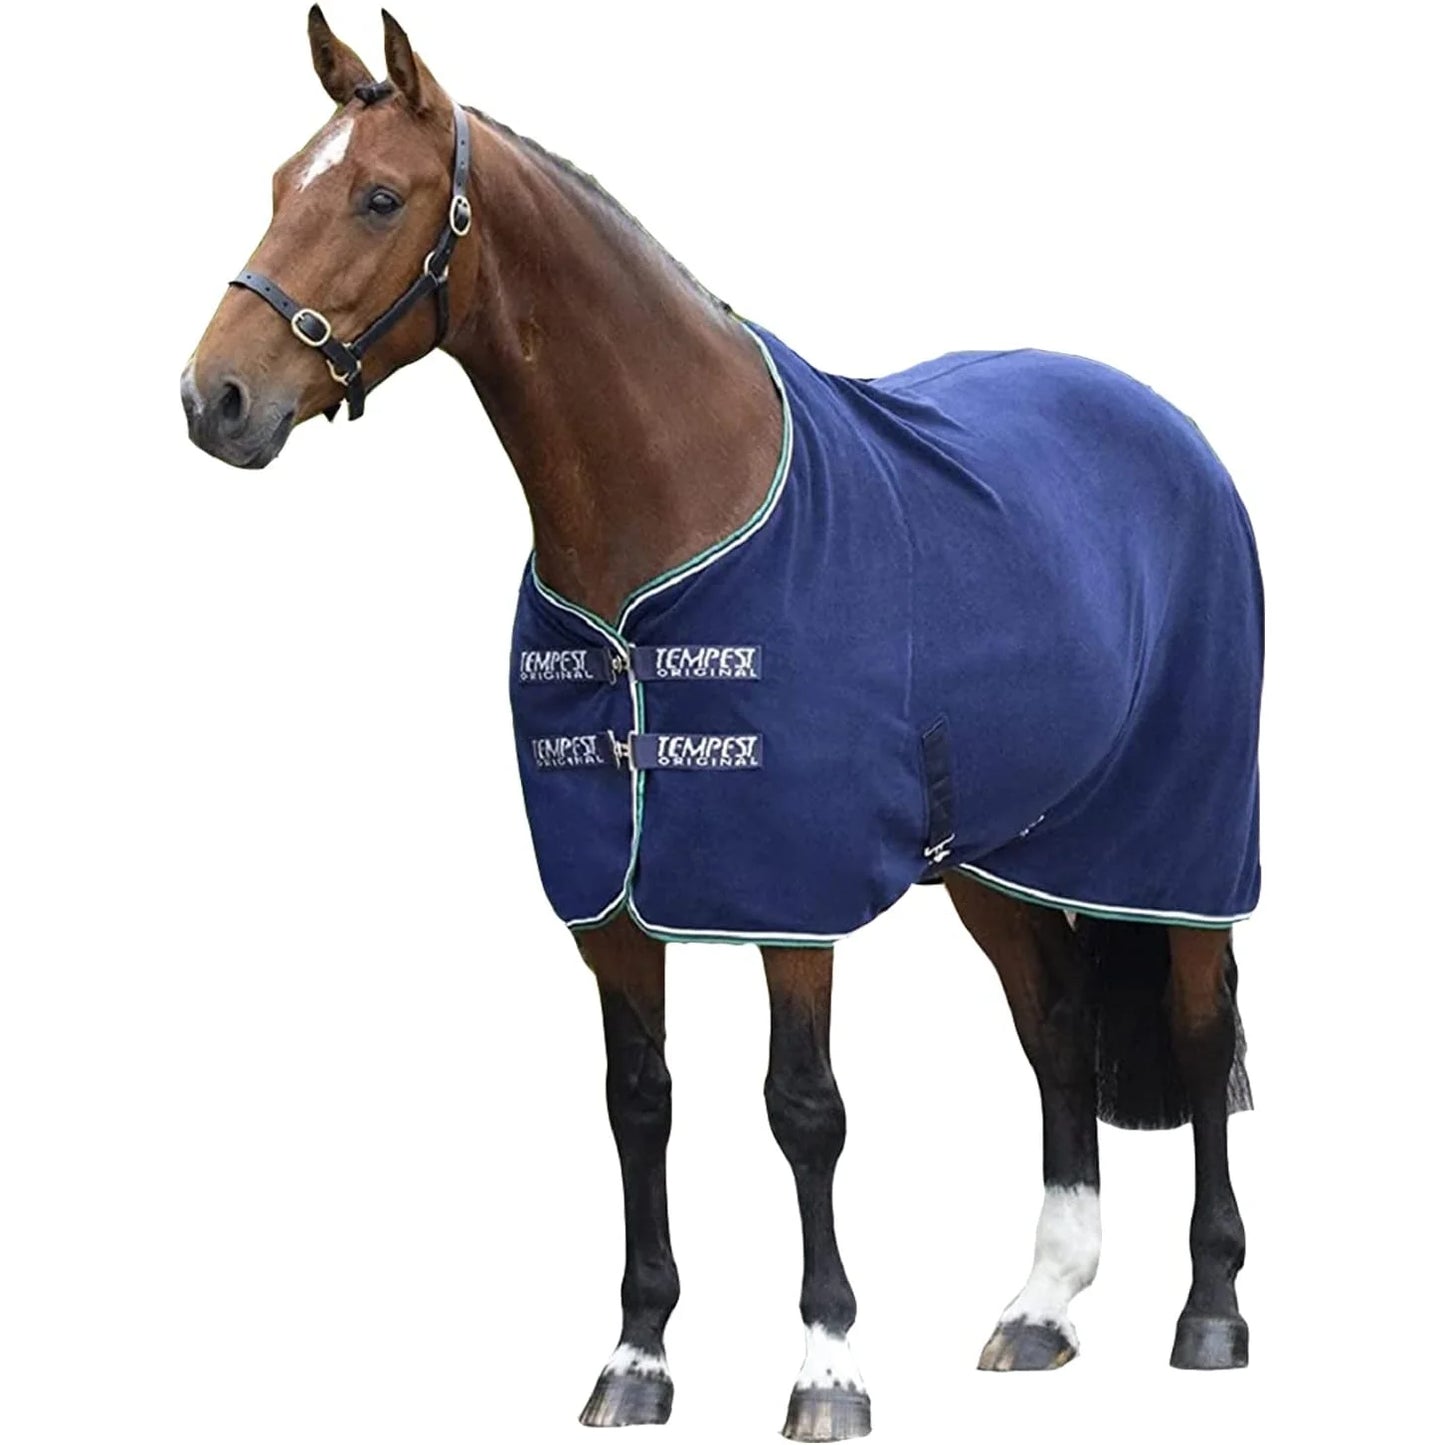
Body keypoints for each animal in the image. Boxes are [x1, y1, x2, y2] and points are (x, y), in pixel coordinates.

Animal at [183, 10, 1261, 1438]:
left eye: (377, 197)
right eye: (273, 186)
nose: (214, 399)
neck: (668, 519)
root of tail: (1171, 434)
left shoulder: (783, 887)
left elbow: (803, 1109)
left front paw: (827, 1367)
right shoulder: (608, 895)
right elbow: (636, 1103)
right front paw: (635, 1357)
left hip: (1180, 839)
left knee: (1195, 1033)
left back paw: (1210, 1310)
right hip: (1000, 852)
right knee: (1056, 1031)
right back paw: (1040, 1306)